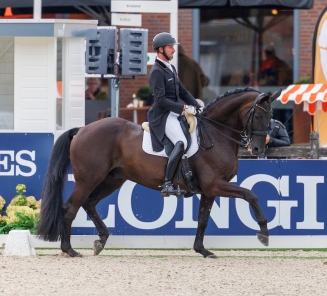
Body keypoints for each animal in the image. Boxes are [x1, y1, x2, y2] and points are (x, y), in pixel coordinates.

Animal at [37, 87, 280, 256]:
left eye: (271, 117)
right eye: (259, 116)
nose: (258, 149)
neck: (215, 134)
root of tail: (82, 130)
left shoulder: (209, 190)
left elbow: (203, 219)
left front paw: (201, 250)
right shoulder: (215, 185)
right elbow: (250, 194)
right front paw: (264, 234)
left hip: (112, 180)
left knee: (89, 204)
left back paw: (101, 240)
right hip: (88, 179)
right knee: (70, 208)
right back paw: (69, 250)